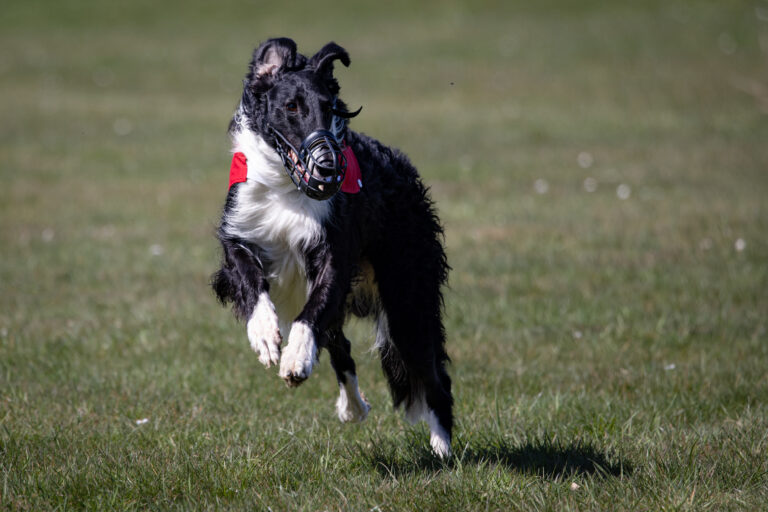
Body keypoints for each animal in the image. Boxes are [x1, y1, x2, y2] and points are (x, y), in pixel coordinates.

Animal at [210, 38, 452, 458]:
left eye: (329, 107)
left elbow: (311, 316)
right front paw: (265, 337)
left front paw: (294, 358)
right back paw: (354, 408)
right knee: (344, 348)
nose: (326, 168)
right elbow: (249, 280)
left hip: (406, 292)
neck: (287, 188)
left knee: (432, 374)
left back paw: (442, 449)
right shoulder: (239, 232)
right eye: (292, 106)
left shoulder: (334, 256)